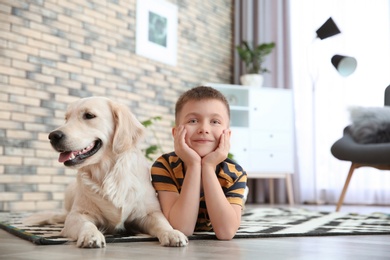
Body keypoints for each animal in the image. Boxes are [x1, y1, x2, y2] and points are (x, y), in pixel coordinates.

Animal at [24, 97, 189, 248]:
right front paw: (91, 235)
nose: (53, 136)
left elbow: (163, 223)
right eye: (66, 118)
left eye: (89, 115)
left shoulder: (149, 212)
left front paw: (173, 233)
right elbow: (86, 224)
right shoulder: (77, 214)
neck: (108, 172)